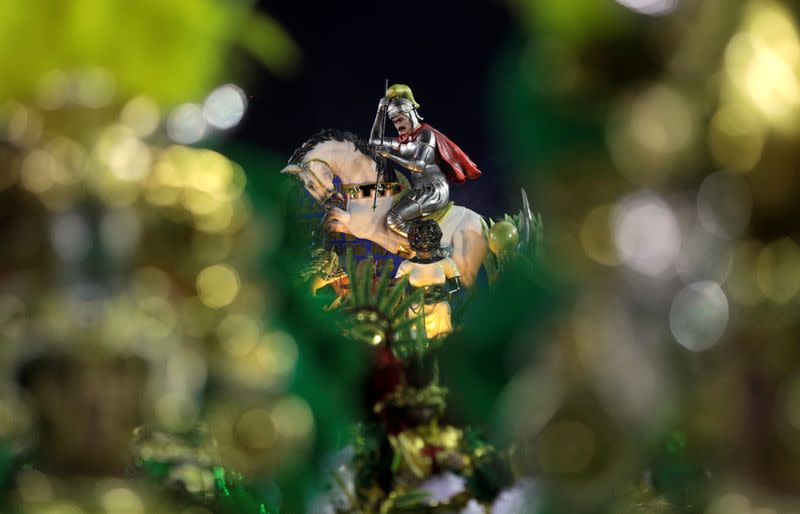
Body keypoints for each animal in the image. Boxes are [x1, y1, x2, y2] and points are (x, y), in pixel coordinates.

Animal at [280, 130, 488, 286]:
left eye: (309, 184)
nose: (332, 199)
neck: (371, 190)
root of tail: (481, 222)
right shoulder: (349, 225)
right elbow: (329, 220)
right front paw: (320, 247)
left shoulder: (355, 224)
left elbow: (331, 216)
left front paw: (318, 246)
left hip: (465, 267)